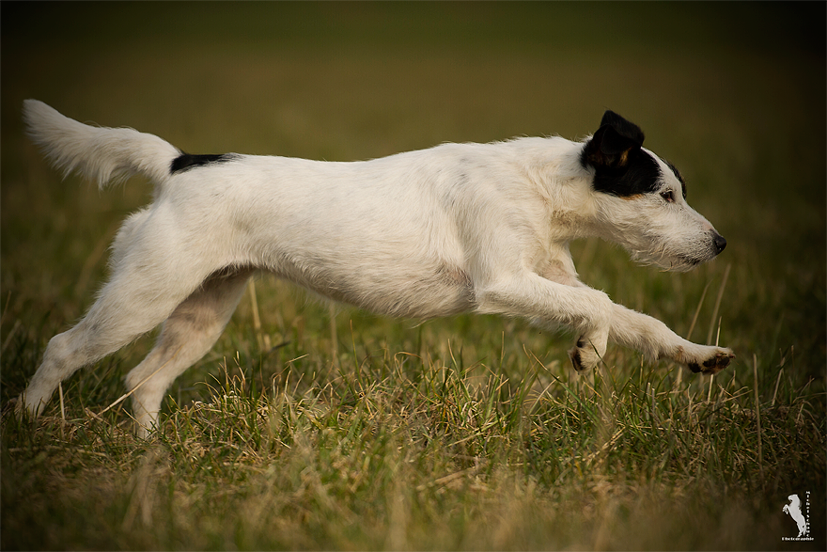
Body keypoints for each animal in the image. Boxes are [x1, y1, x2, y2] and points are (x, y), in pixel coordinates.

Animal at [16, 99, 736, 436]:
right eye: (663, 194)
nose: (720, 242)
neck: (538, 185)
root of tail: (176, 163)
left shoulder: (551, 278)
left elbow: (635, 318)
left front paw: (696, 355)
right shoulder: (504, 283)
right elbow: (600, 310)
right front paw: (590, 349)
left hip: (201, 309)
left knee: (143, 379)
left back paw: (151, 456)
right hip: (143, 293)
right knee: (62, 348)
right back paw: (24, 423)